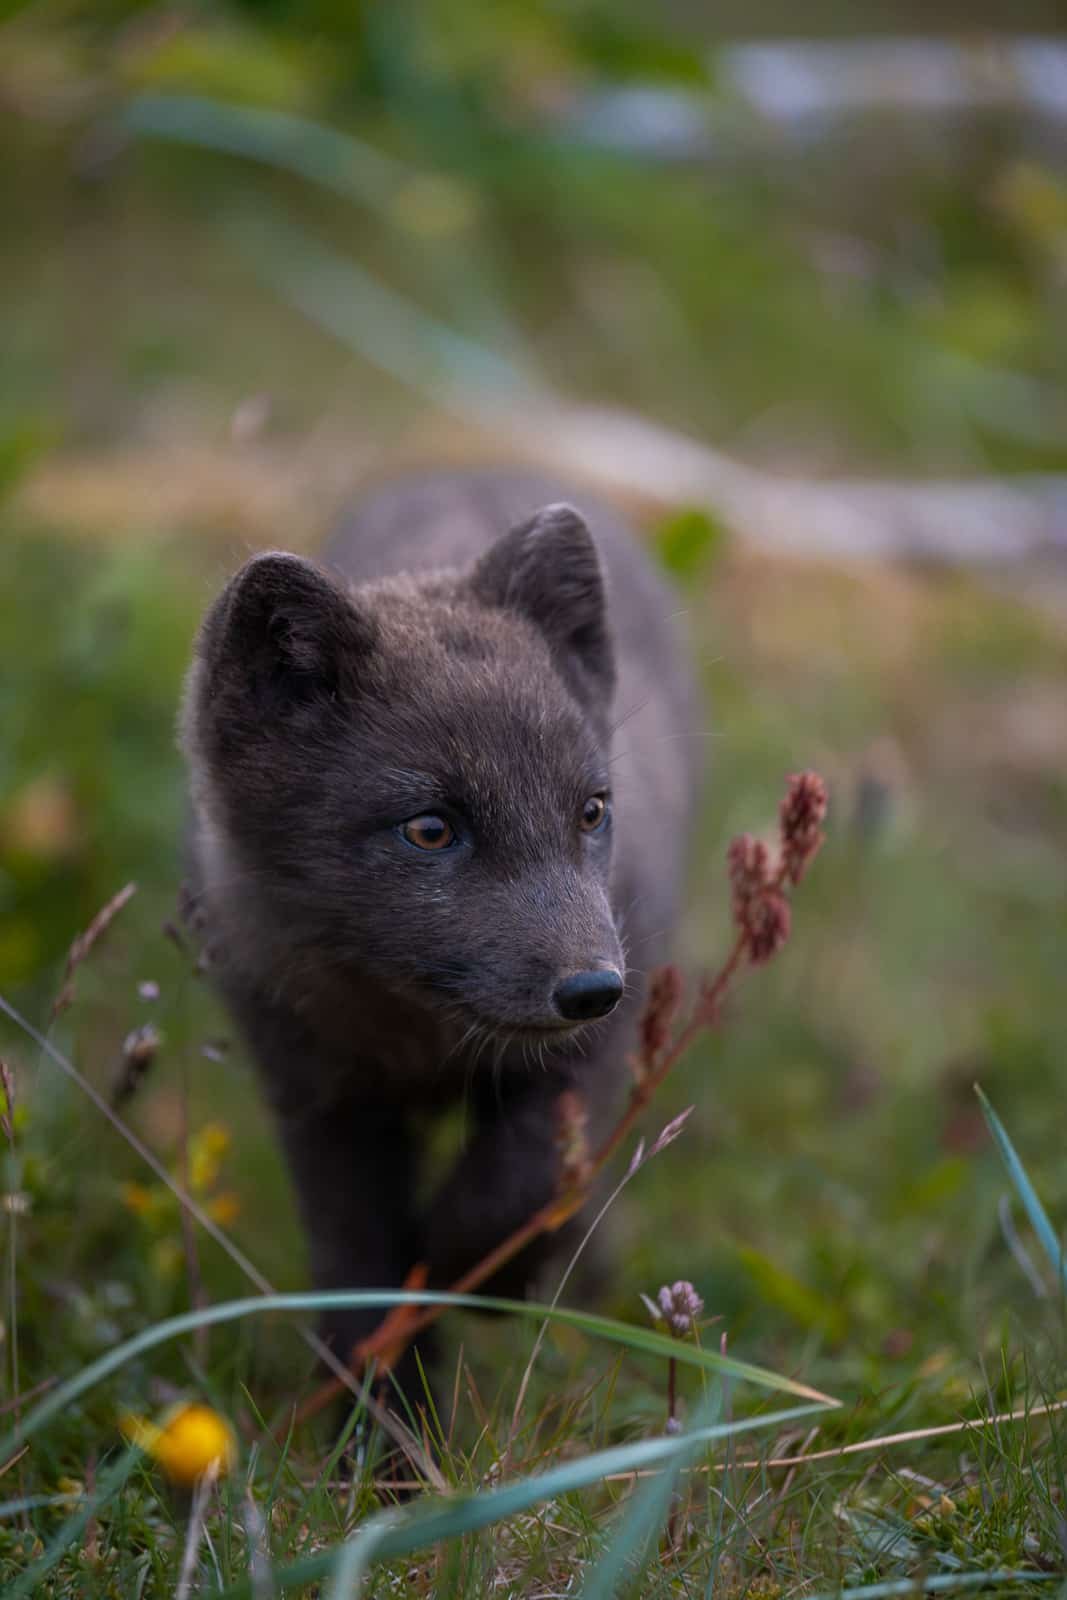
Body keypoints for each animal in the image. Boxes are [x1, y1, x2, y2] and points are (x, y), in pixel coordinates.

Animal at [180, 467, 699, 1395]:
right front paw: (383, 1423)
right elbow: (357, 1276)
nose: (592, 990)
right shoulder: (319, 1098)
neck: (416, 1039)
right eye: (430, 830)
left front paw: (480, 1278)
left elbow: (515, 1189)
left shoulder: (594, 1050)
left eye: (590, 810)